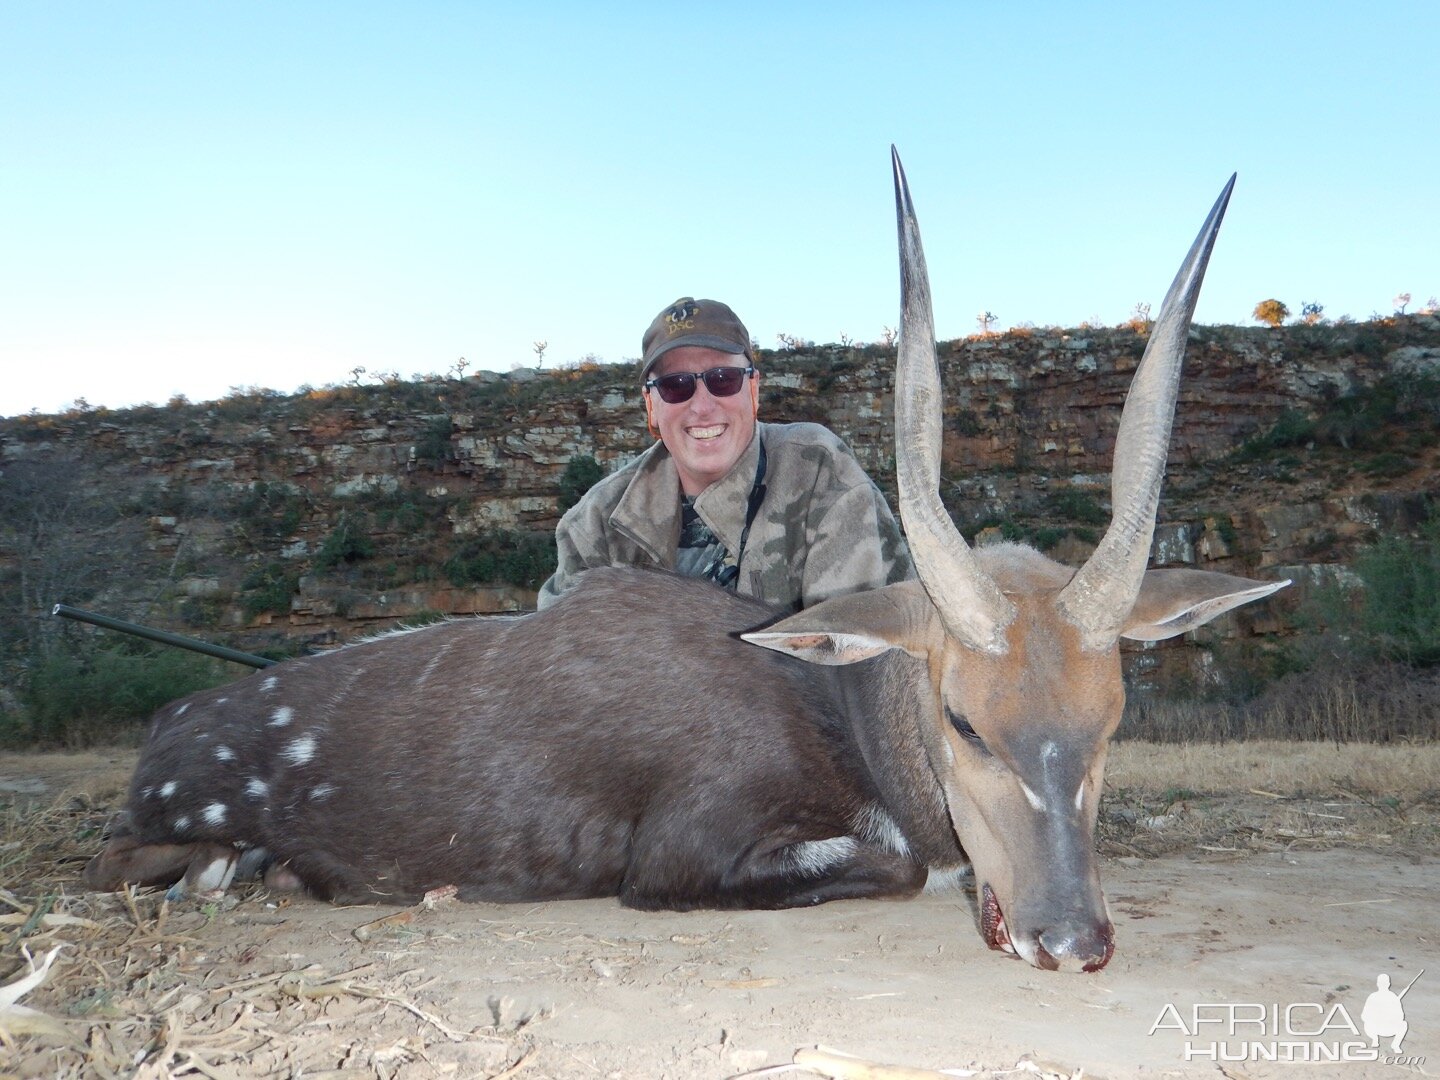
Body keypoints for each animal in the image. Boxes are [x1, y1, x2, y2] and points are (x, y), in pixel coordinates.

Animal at [84, 150, 1290, 973]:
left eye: (1112, 719)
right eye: (964, 721)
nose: (1069, 938)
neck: (837, 709)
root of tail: (167, 728)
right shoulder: (679, 854)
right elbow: (897, 861)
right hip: (160, 842)